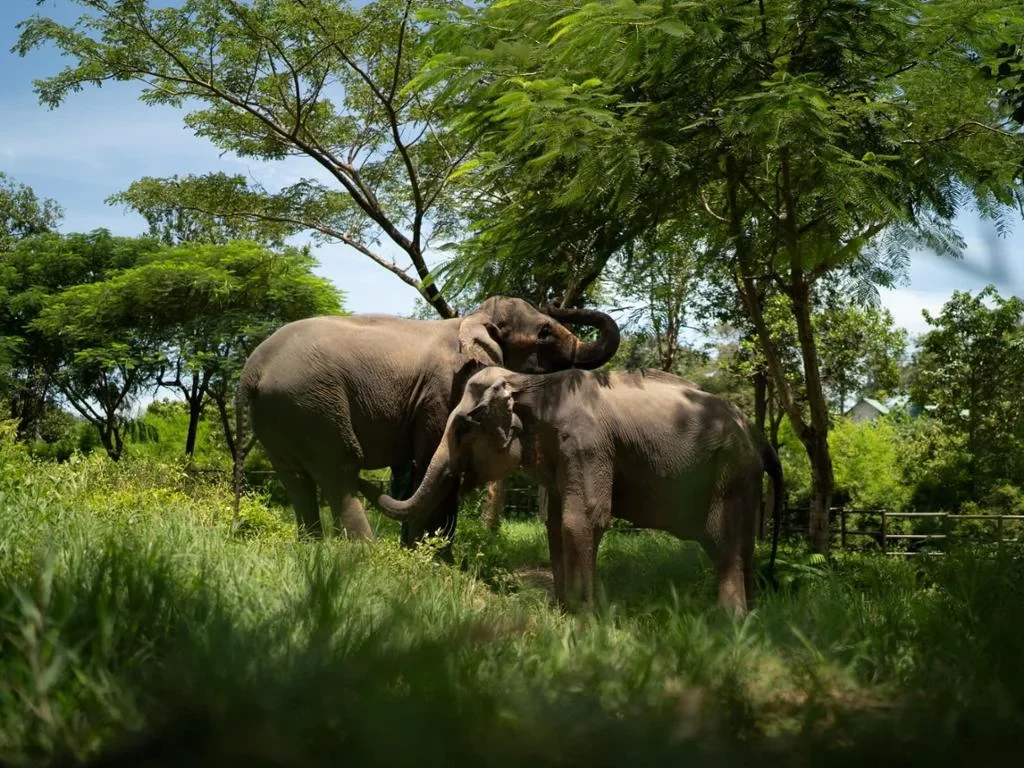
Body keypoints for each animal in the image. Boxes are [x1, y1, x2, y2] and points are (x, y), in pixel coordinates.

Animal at [232, 297, 620, 551]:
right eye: (544, 333)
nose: (557, 301)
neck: (469, 319)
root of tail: (252, 369)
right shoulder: (441, 391)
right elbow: (434, 463)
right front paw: (430, 560)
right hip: (312, 402)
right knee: (339, 468)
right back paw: (367, 556)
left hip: (280, 412)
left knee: (295, 478)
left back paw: (311, 549)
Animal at [367, 365, 783, 615]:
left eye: (464, 426)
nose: (370, 485)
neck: (528, 382)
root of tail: (758, 434)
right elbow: (554, 524)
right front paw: (563, 609)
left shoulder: (587, 446)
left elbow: (580, 520)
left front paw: (585, 618)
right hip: (744, 478)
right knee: (744, 545)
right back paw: (750, 614)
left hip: (731, 472)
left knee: (723, 541)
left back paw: (729, 621)